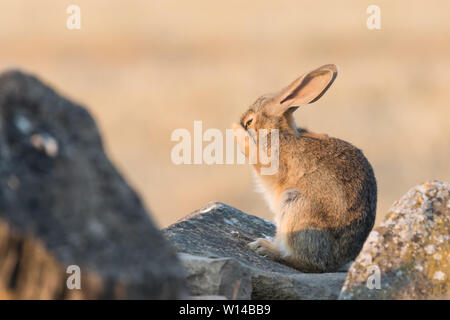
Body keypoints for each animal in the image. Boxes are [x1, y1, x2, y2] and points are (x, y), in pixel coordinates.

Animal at [234, 64, 378, 272]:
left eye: (250, 122)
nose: (241, 123)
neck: (278, 133)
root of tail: (336, 262)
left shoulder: (275, 165)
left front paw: (236, 132)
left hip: (295, 207)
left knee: (301, 261)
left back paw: (264, 247)